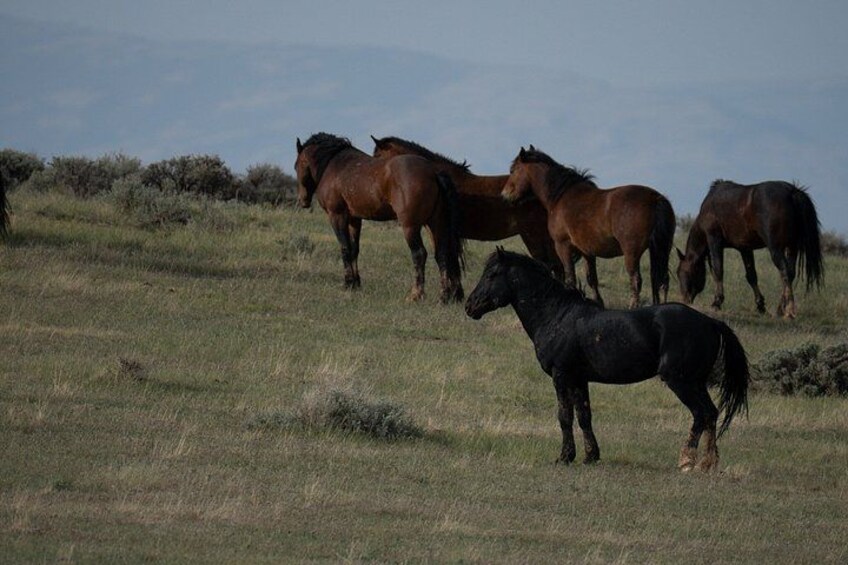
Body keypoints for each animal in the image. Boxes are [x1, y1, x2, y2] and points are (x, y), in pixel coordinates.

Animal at [295, 133, 465, 303]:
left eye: (296, 166)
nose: (303, 201)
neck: (335, 165)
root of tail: (434, 173)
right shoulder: (354, 219)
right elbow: (354, 249)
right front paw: (356, 284)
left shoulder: (337, 216)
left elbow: (345, 248)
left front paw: (348, 283)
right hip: (435, 224)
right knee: (442, 254)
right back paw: (444, 297)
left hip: (410, 226)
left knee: (419, 254)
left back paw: (416, 294)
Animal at [465, 248, 750, 471]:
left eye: (491, 275)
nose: (470, 306)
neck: (556, 315)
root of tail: (711, 323)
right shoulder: (579, 379)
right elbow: (584, 416)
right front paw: (590, 456)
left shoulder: (561, 376)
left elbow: (564, 416)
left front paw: (564, 457)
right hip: (697, 382)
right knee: (711, 413)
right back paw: (708, 463)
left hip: (681, 382)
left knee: (701, 414)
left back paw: (687, 461)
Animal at [502, 146, 675, 308]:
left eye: (513, 170)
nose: (504, 196)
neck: (560, 197)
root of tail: (655, 198)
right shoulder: (587, 251)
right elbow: (592, 279)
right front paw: (598, 302)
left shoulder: (563, 245)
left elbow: (570, 278)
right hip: (662, 248)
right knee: (662, 280)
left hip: (632, 253)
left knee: (636, 280)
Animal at [677, 180, 824, 318]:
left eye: (681, 273)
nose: (685, 300)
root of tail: (792, 192)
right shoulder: (745, 248)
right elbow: (751, 276)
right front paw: (760, 306)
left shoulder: (714, 240)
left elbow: (718, 270)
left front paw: (717, 302)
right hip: (792, 247)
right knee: (790, 273)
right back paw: (779, 309)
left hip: (776, 249)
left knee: (785, 272)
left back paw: (789, 311)